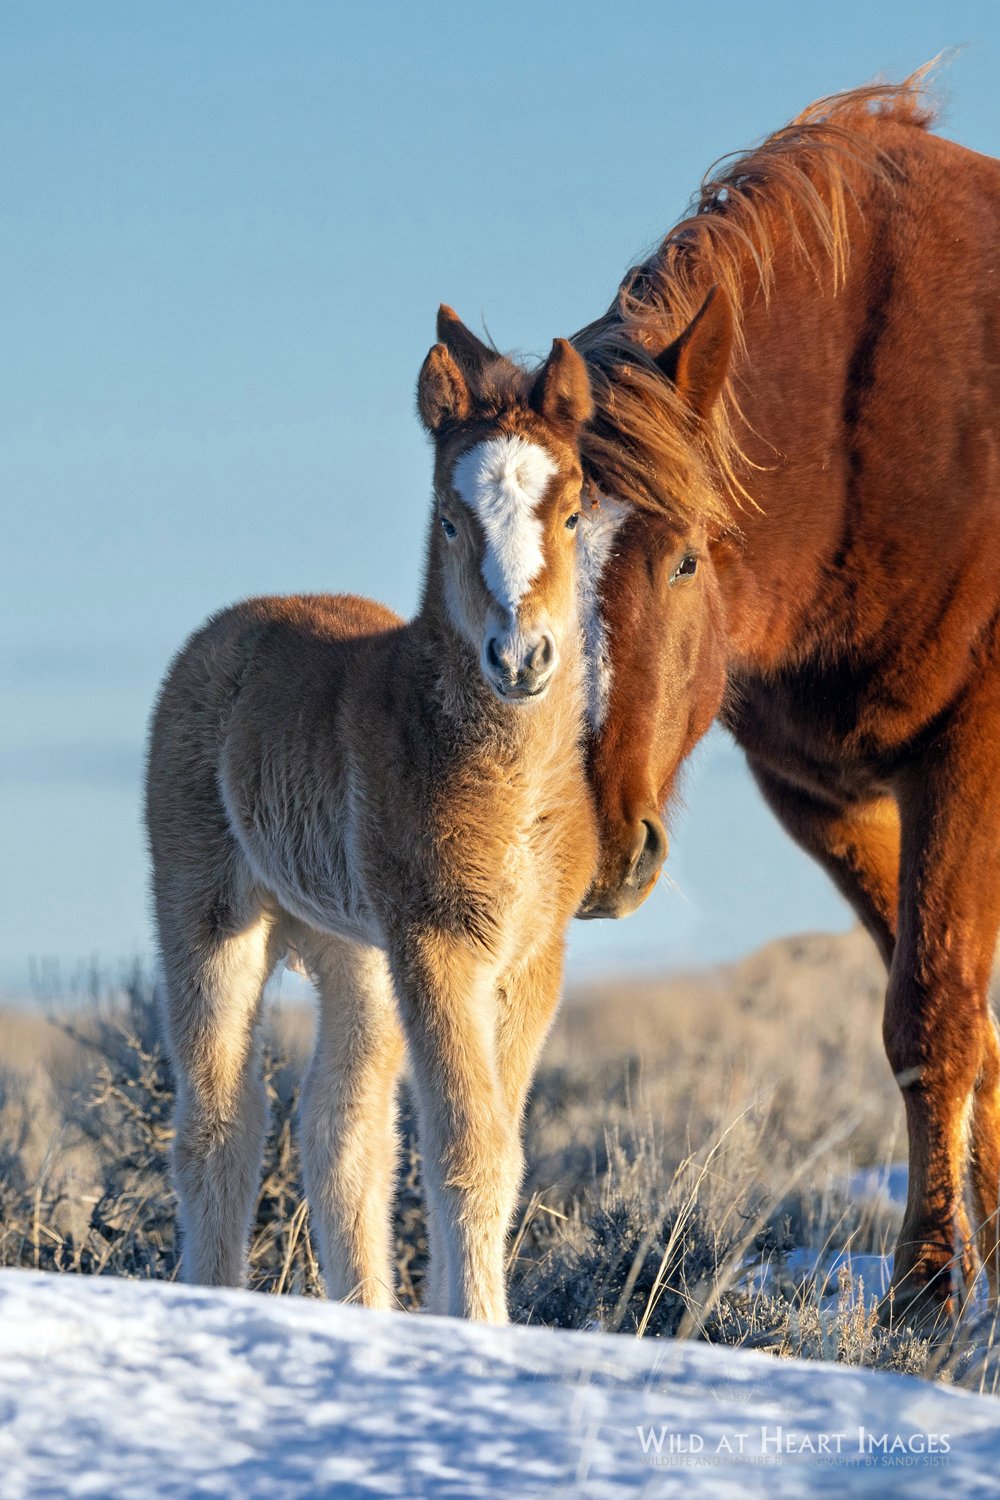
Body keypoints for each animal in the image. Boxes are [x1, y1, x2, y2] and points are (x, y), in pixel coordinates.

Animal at [146, 310, 602, 1320]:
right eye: (450, 518)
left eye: (573, 512)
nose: (522, 658)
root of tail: (226, 628)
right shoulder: (439, 940)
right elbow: (469, 1148)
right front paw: (481, 1330)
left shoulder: (532, 957)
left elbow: (494, 1150)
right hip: (209, 911)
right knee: (221, 1123)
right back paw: (217, 1301)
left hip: (355, 950)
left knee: (341, 1131)